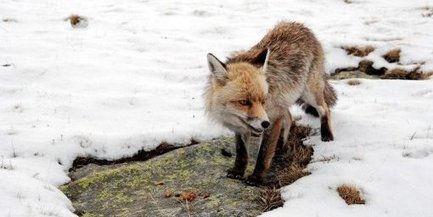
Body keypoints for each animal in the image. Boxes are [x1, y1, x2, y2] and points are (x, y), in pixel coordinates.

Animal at [204, 21, 336, 185]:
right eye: (244, 102)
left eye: (263, 100)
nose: (264, 124)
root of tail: (299, 25)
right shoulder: (242, 127)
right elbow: (241, 152)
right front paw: (238, 171)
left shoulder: (272, 117)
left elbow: (264, 152)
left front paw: (256, 178)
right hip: (285, 103)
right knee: (289, 118)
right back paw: (279, 148)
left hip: (309, 93)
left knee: (324, 109)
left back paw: (327, 134)